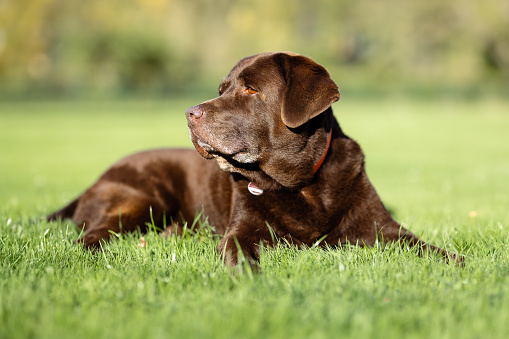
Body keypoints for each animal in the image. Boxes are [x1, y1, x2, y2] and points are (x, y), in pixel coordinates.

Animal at [49, 51, 462, 266]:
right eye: (221, 89)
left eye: (250, 90)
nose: (189, 114)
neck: (302, 184)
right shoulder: (241, 231)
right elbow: (238, 253)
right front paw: (246, 279)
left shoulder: (386, 231)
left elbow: (430, 249)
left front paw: (462, 267)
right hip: (142, 196)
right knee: (92, 233)